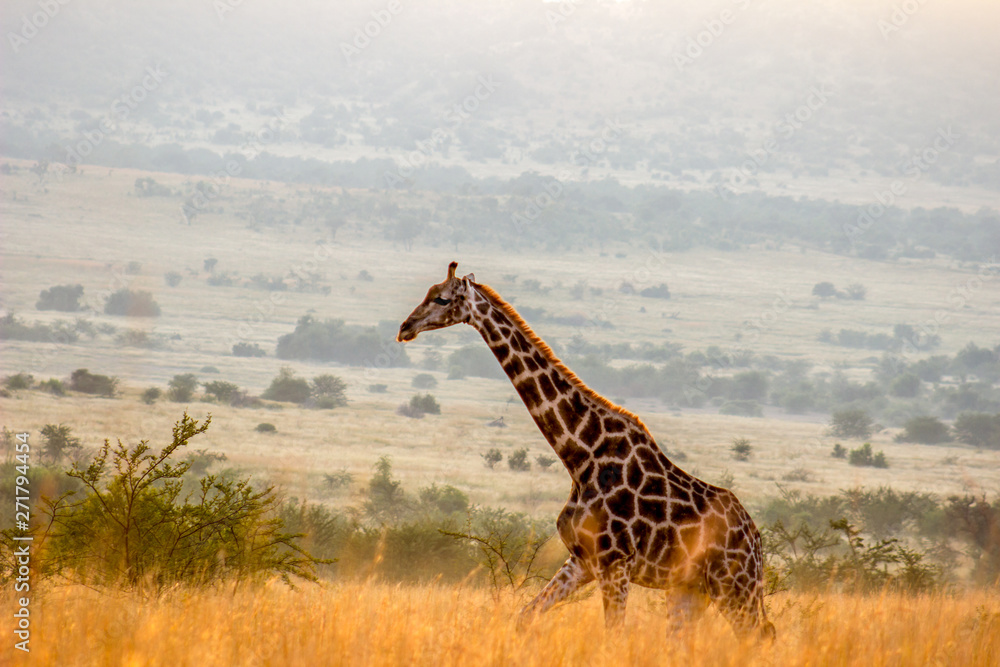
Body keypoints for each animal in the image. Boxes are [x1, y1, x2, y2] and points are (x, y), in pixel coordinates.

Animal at [397, 262, 775, 639]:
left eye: (443, 298)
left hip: (733, 585)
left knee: (758, 635)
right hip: (690, 589)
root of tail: (757, 541)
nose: (405, 328)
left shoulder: (615, 564)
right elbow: (524, 616)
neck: (580, 456)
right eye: (429, 293)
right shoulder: (581, 560)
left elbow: (614, 635)